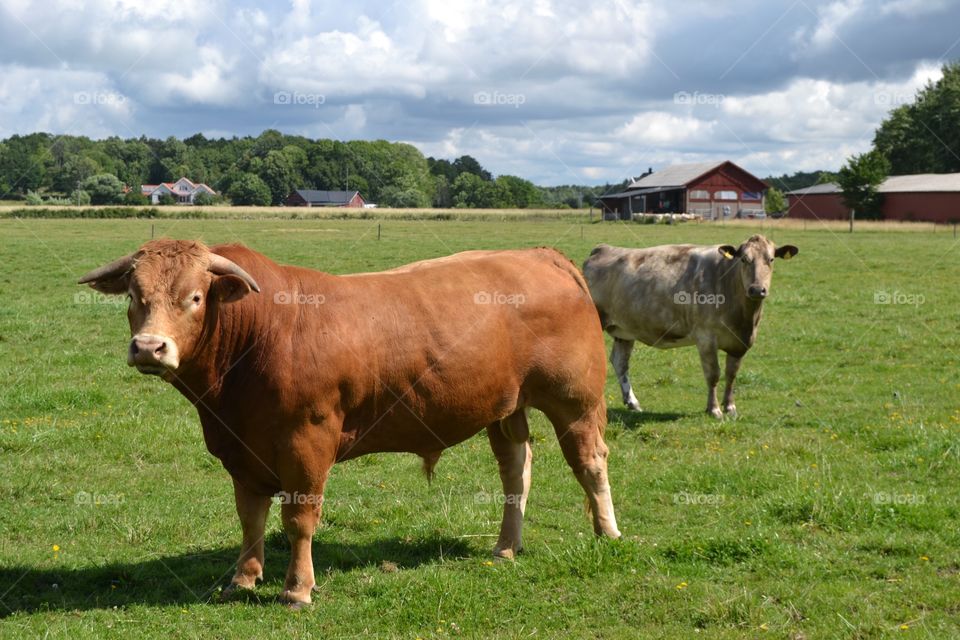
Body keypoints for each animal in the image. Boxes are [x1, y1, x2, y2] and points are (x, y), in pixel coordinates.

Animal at [78, 239, 620, 606]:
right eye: (134, 295)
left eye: (194, 297)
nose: (150, 348)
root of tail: (540, 254)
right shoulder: (239, 450)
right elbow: (250, 515)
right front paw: (244, 578)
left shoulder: (307, 443)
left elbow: (298, 519)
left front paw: (297, 589)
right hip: (505, 407)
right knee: (516, 471)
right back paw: (506, 547)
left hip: (575, 400)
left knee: (590, 463)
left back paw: (608, 533)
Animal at [582, 235, 798, 419]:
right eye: (744, 259)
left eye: (771, 259)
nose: (757, 289)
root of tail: (603, 249)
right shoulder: (706, 338)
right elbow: (713, 374)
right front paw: (714, 410)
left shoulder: (740, 342)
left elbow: (731, 374)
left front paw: (730, 407)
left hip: (625, 330)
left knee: (620, 362)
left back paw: (632, 402)